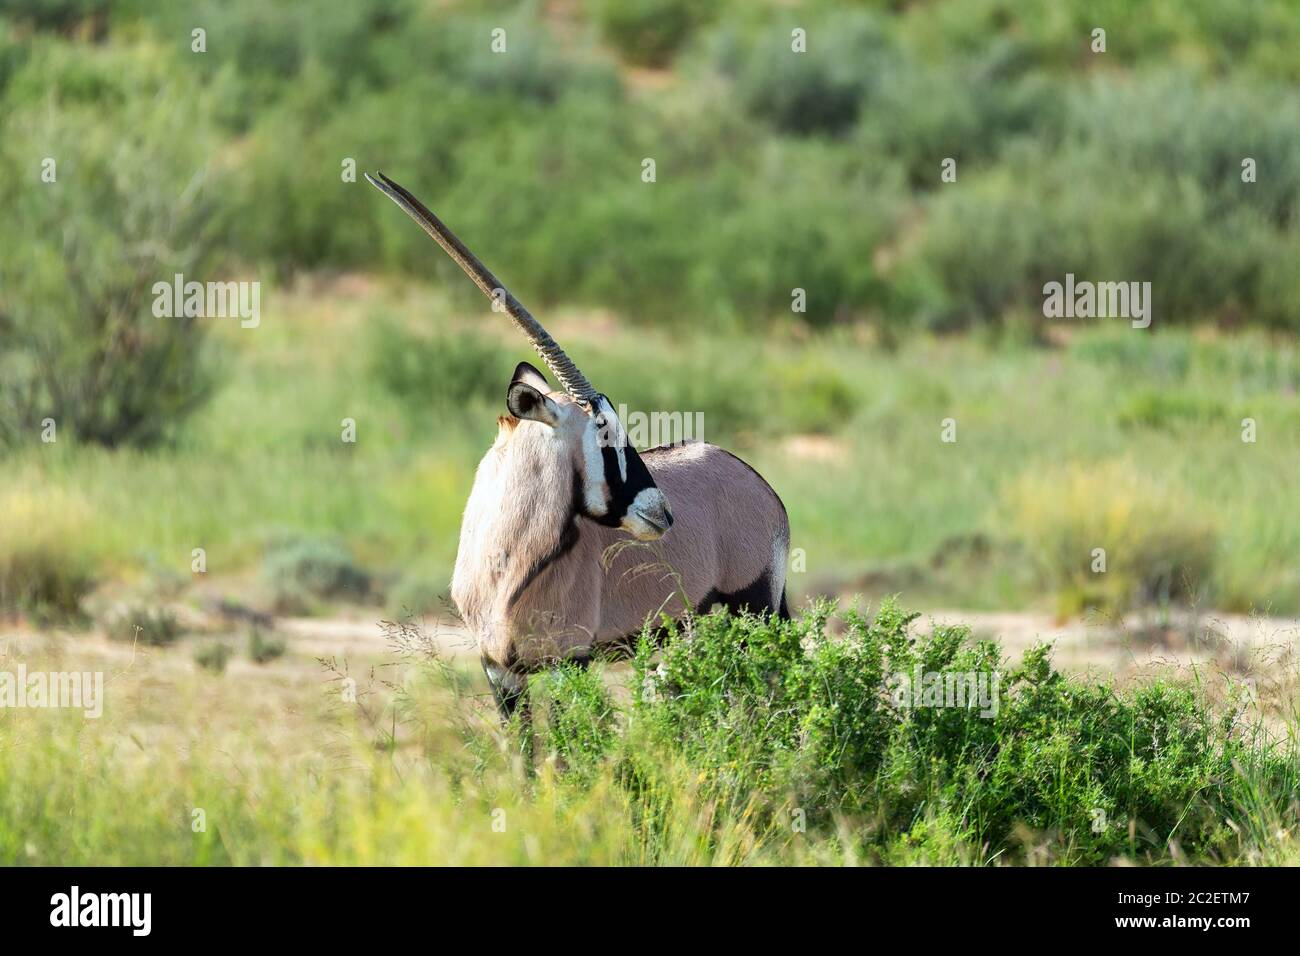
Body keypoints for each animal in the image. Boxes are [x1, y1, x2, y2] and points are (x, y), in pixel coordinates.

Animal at [367, 173, 791, 718]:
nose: (662, 514)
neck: (507, 565)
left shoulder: (571, 661)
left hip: (751, 613)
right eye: (605, 431)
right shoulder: (500, 671)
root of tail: (763, 488)